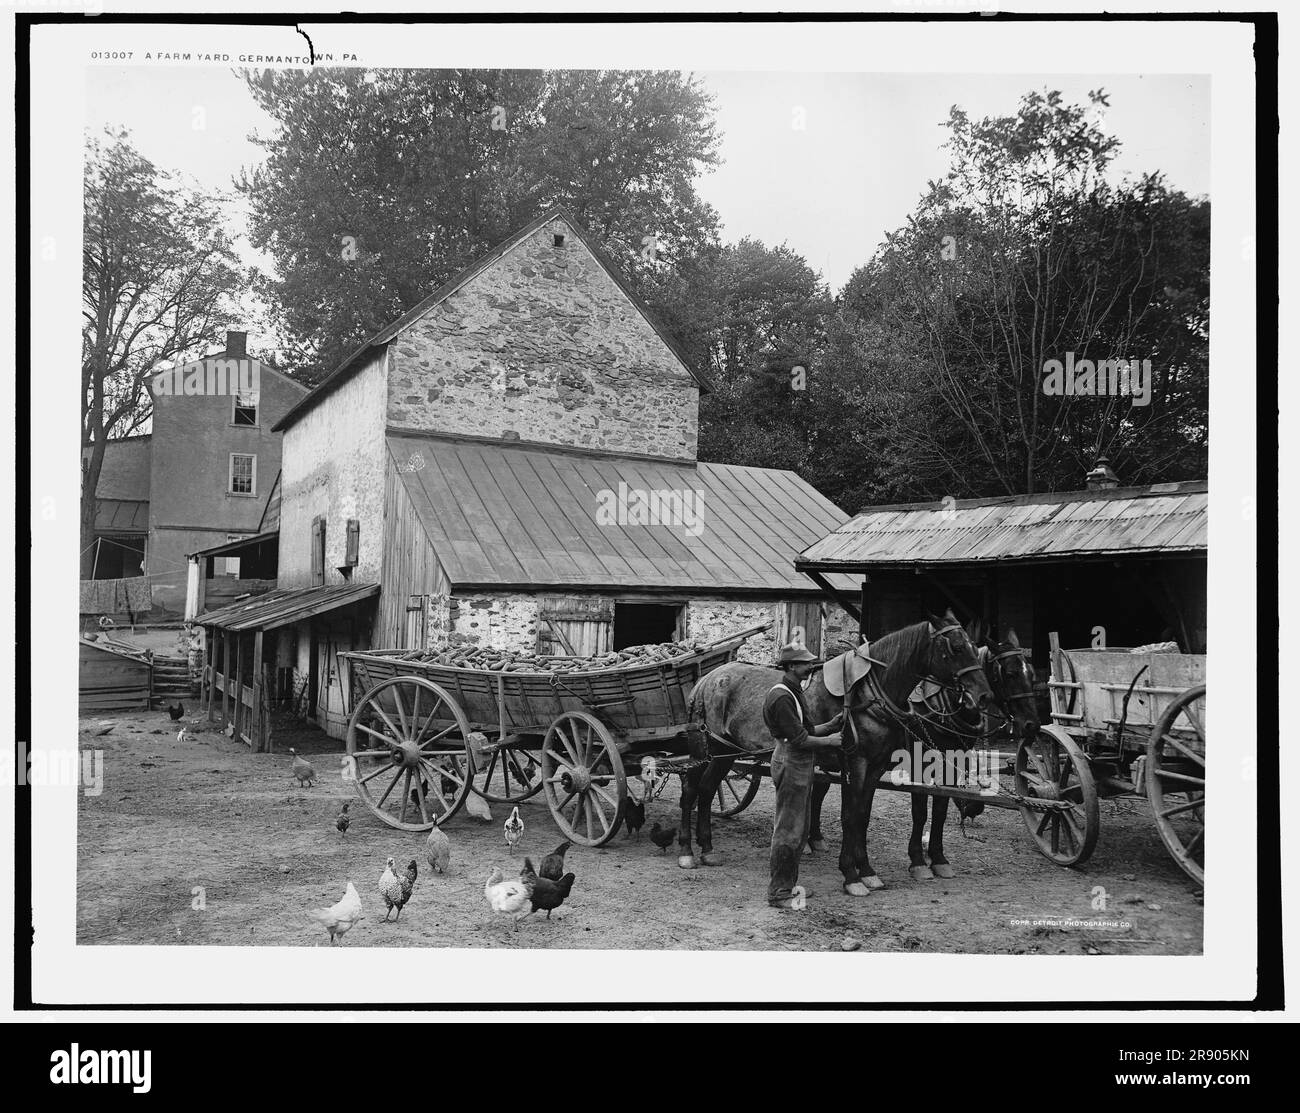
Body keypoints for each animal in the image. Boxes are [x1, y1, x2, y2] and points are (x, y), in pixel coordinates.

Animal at [676, 608, 987, 894]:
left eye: (975, 647)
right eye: (956, 647)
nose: (982, 695)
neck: (867, 695)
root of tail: (708, 678)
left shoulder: (876, 767)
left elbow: (863, 815)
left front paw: (868, 871)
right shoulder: (858, 763)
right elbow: (852, 815)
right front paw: (852, 875)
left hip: (724, 754)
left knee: (707, 790)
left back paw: (707, 849)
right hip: (706, 749)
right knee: (691, 790)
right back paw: (687, 851)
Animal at [806, 621, 1040, 884]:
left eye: (1032, 674)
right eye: (1010, 674)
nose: (1032, 724)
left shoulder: (950, 765)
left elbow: (940, 811)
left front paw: (938, 859)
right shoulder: (918, 765)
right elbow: (919, 812)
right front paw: (918, 861)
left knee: (817, 792)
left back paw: (814, 839)